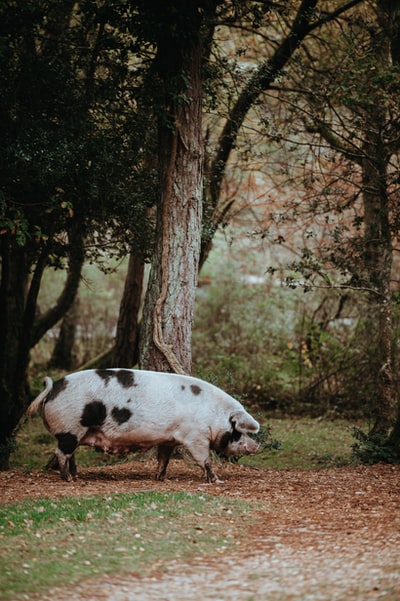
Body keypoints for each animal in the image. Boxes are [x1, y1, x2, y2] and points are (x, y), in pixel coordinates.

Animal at [28, 366, 260, 482]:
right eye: (239, 431)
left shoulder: (169, 438)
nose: (257, 446)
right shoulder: (195, 436)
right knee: (61, 453)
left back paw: (75, 475)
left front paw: (160, 478)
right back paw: (68, 479)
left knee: (69, 454)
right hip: (70, 428)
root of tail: (53, 388)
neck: (214, 415)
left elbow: (164, 458)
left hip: (74, 431)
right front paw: (217, 481)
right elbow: (205, 460)